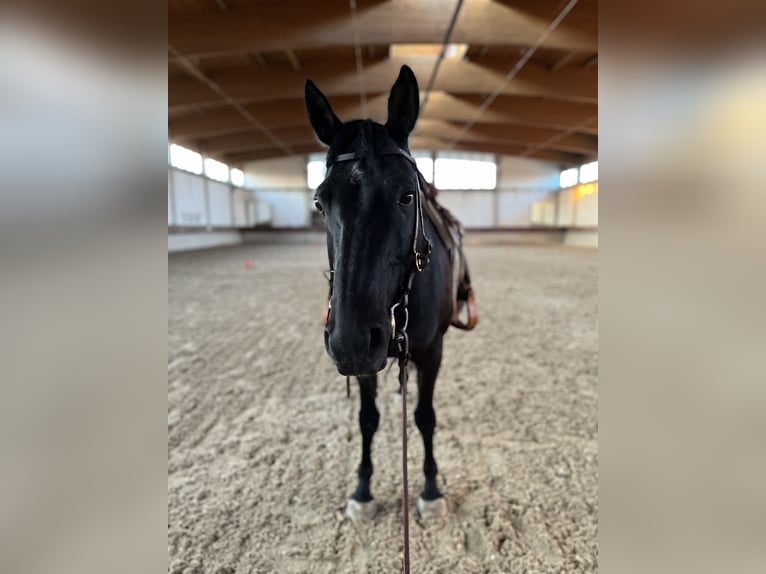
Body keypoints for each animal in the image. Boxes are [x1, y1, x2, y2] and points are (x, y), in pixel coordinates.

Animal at [305, 65, 475, 522]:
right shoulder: (367, 358)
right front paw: (363, 489)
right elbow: (368, 418)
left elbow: (425, 417)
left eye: (407, 194)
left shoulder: (432, 350)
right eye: (320, 202)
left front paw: (431, 488)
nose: (350, 341)